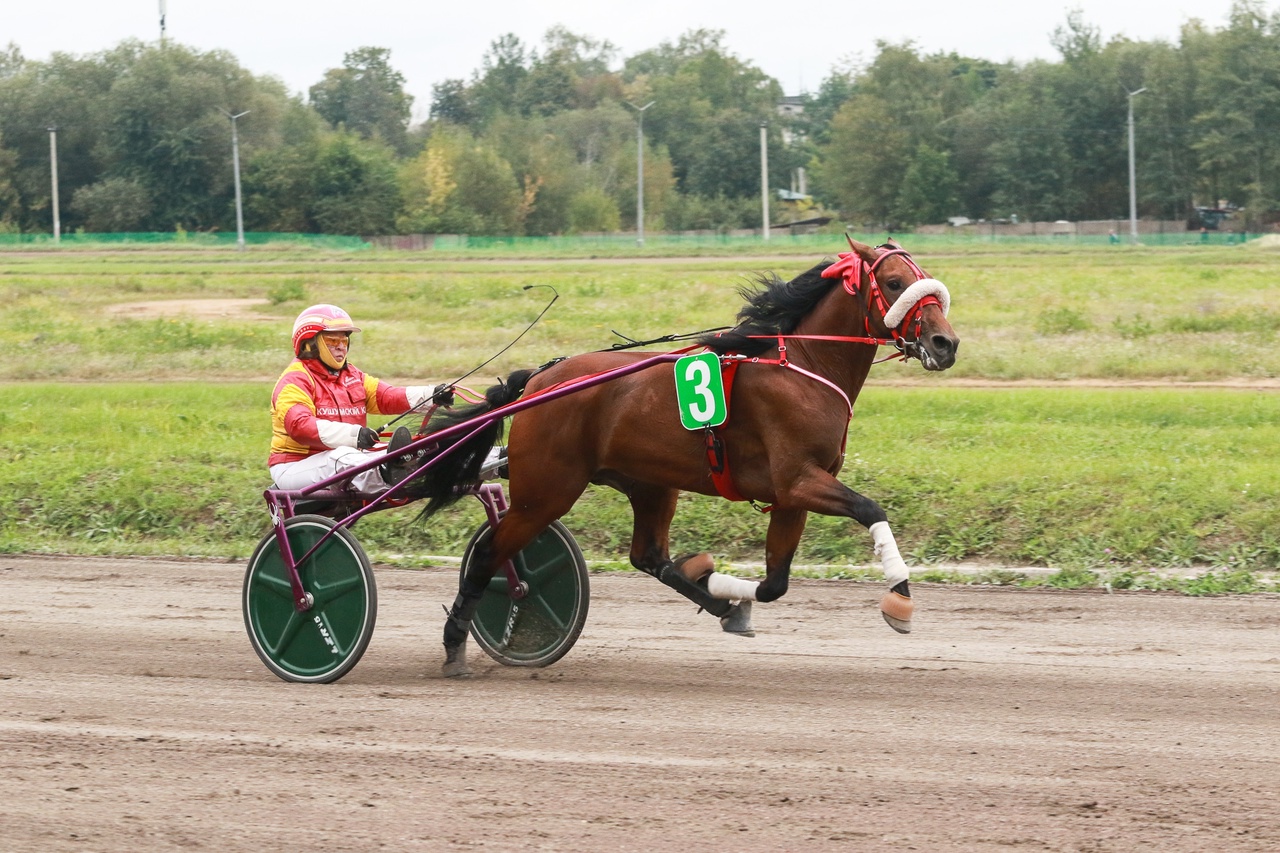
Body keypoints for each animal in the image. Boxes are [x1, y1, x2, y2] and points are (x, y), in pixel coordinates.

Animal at [419, 235, 962, 676]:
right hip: (546, 491)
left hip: (650, 483)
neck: (804, 367)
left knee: (648, 557)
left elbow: (774, 584)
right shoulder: (799, 480)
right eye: (894, 282)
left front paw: (714, 580)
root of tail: (537, 380)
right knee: (489, 554)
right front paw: (900, 598)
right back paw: (455, 645)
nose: (946, 343)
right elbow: (871, 508)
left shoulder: (791, 497)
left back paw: (716, 600)